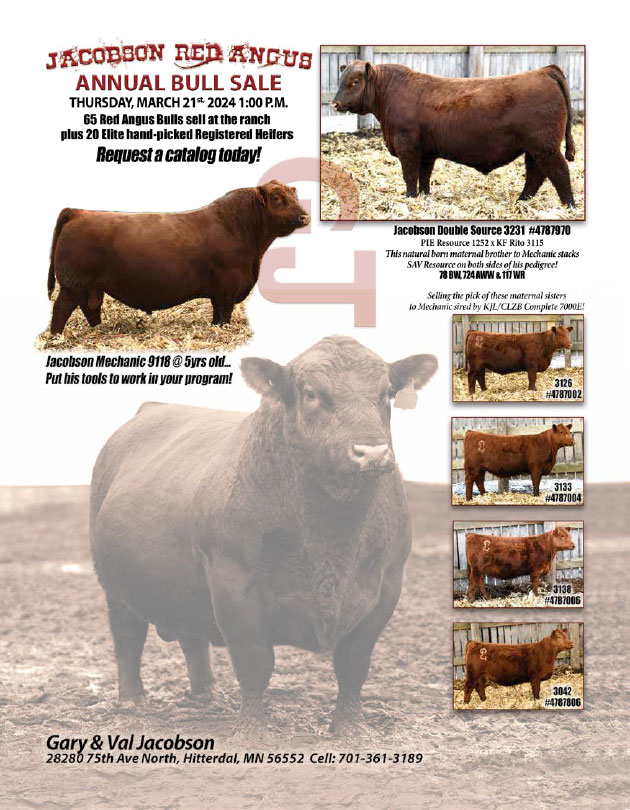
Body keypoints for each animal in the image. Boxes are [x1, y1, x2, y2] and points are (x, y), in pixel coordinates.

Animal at [47, 180, 309, 335]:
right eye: (276, 198)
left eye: (293, 196)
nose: (304, 216)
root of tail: (79, 212)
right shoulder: (228, 285)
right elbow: (224, 312)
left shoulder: (220, 291)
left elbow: (216, 312)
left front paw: (214, 326)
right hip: (72, 284)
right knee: (61, 309)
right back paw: (57, 337)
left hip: (90, 286)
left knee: (90, 308)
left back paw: (98, 329)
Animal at [90, 336, 438, 735]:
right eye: (311, 393)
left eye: (387, 393)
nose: (372, 452)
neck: (334, 533)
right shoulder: (232, 579)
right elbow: (255, 660)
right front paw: (252, 728)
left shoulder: (388, 582)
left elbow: (353, 662)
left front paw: (349, 727)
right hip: (113, 585)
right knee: (128, 637)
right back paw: (132, 700)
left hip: (182, 583)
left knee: (192, 636)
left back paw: (206, 694)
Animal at [332, 61, 576, 206]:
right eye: (341, 80)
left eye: (354, 82)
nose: (335, 103)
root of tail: (545, 70)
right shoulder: (426, 151)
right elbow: (424, 175)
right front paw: (424, 196)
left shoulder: (407, 146)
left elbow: (409, 175)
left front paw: (410, 198)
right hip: (534, 148)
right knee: (536, 174)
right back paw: (522, 201)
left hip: (544, 145)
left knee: (559, 171)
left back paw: (569, 205)